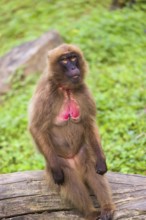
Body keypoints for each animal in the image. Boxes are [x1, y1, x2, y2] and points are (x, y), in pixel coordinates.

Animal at [28, 43, 115, 219]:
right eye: (64, 60)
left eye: (73, 58)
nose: (74, 67)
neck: (66, 89)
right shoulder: (46, 93)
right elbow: (36, 127)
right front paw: (58, 173)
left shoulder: (83, 90)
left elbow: (89, 123)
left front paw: (102, 162)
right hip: (58, 159)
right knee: (69, 177)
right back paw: (90, 212)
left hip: (83, 152)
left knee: (91, 165)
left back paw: (107, 209)